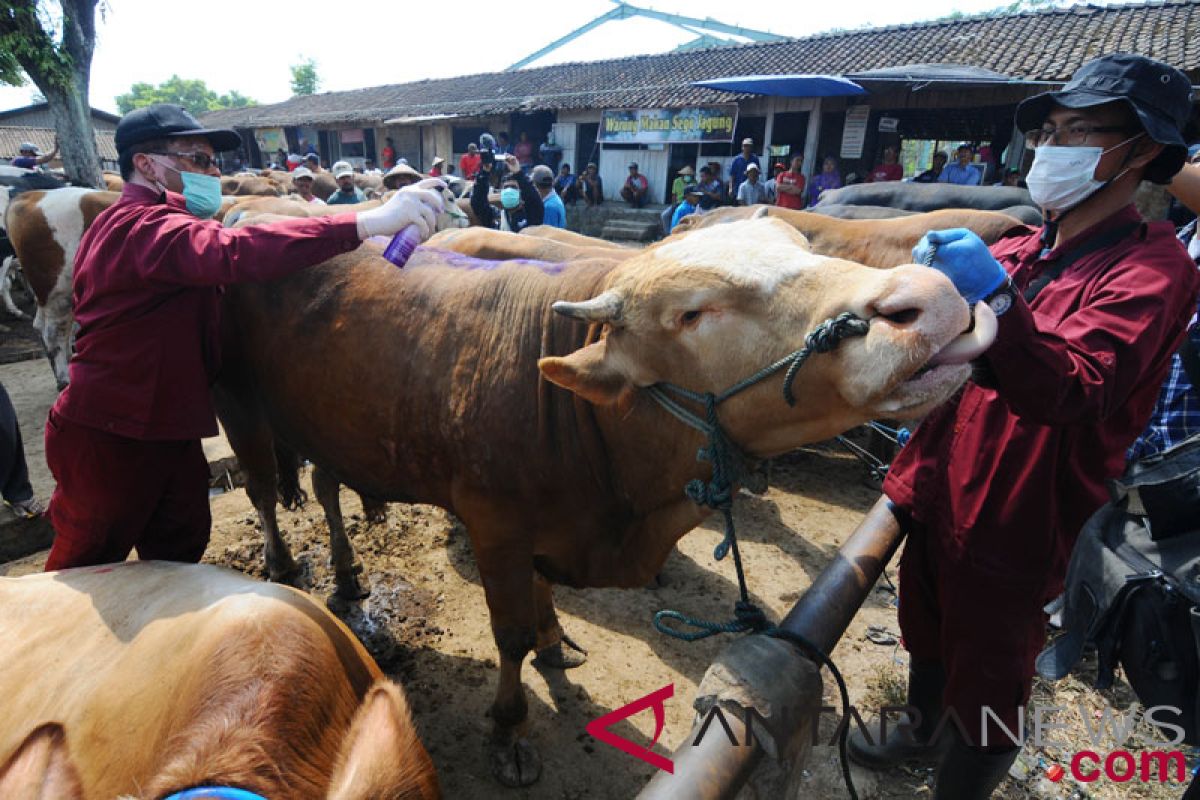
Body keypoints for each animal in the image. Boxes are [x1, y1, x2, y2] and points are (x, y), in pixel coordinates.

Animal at [213, 215, 993, 786]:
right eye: (692, 313)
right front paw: (511, 727)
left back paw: (348, 575)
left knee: (324, 487)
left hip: (327, 428)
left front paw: (557, 642)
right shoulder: (496, 526)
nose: (930, 296)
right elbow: (508, 634)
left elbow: (540, 603)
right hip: (243, 408)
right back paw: (284, 568)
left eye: (804, 248)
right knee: (261, 488)